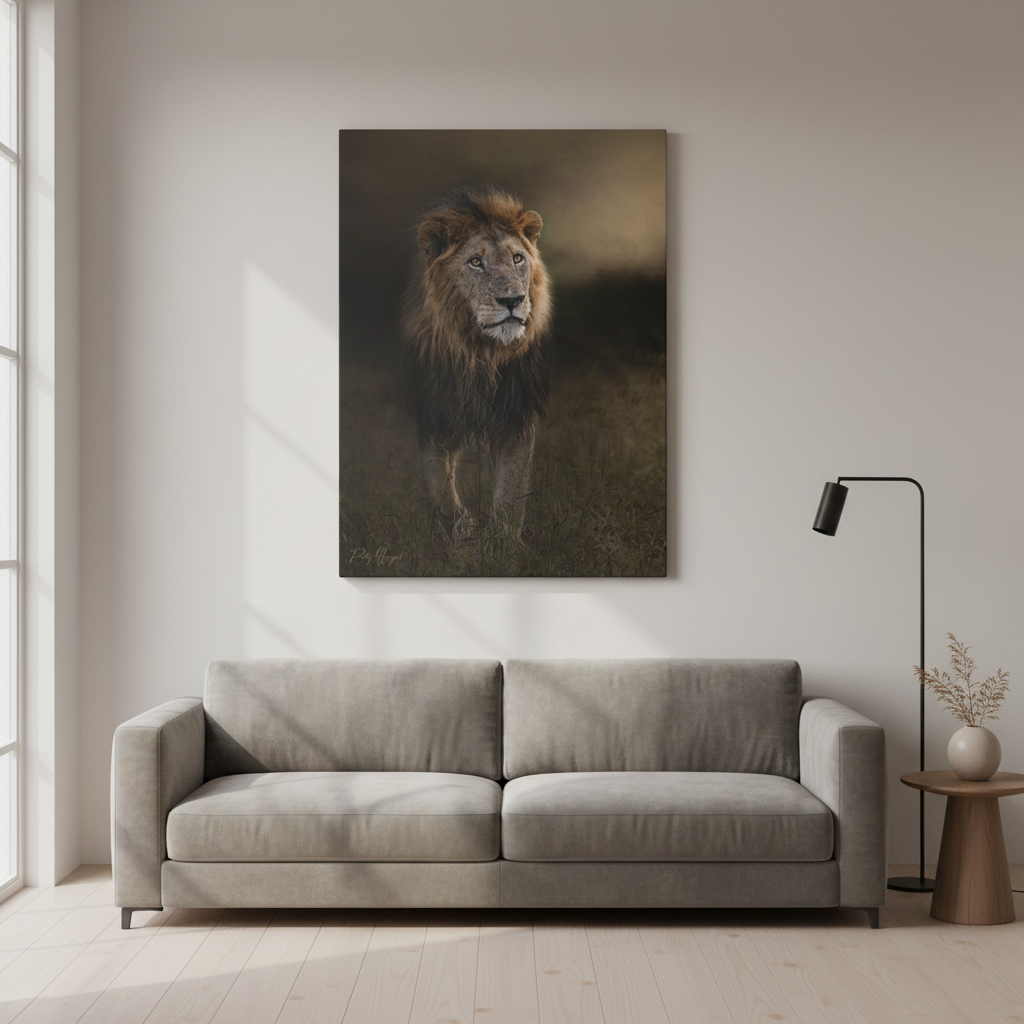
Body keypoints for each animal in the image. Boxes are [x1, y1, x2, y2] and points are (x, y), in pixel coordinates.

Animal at [401, 184, 552, 539]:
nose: (512, 300)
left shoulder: (516, 418)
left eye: (517, 258)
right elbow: (440, 489)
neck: (480, 355)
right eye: (475, 262)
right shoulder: (433, 417)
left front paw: (502, 541)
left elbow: (511, 493)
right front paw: (462, 533)